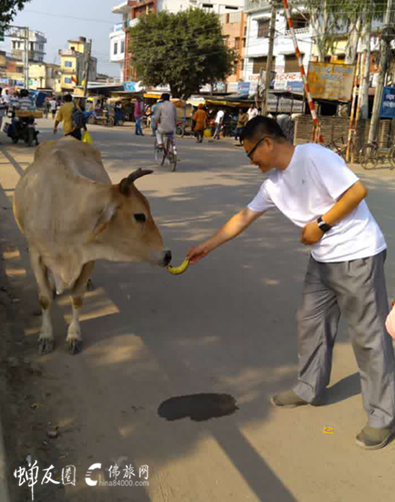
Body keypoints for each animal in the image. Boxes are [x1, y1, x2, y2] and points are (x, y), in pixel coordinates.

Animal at [13, 137, 172, 354]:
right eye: (139, 215)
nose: (167, 255)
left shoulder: (88, 257)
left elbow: (77, 298)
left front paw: (74, 336)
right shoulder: (36, 255)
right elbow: (44, 298)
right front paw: (45, 336)